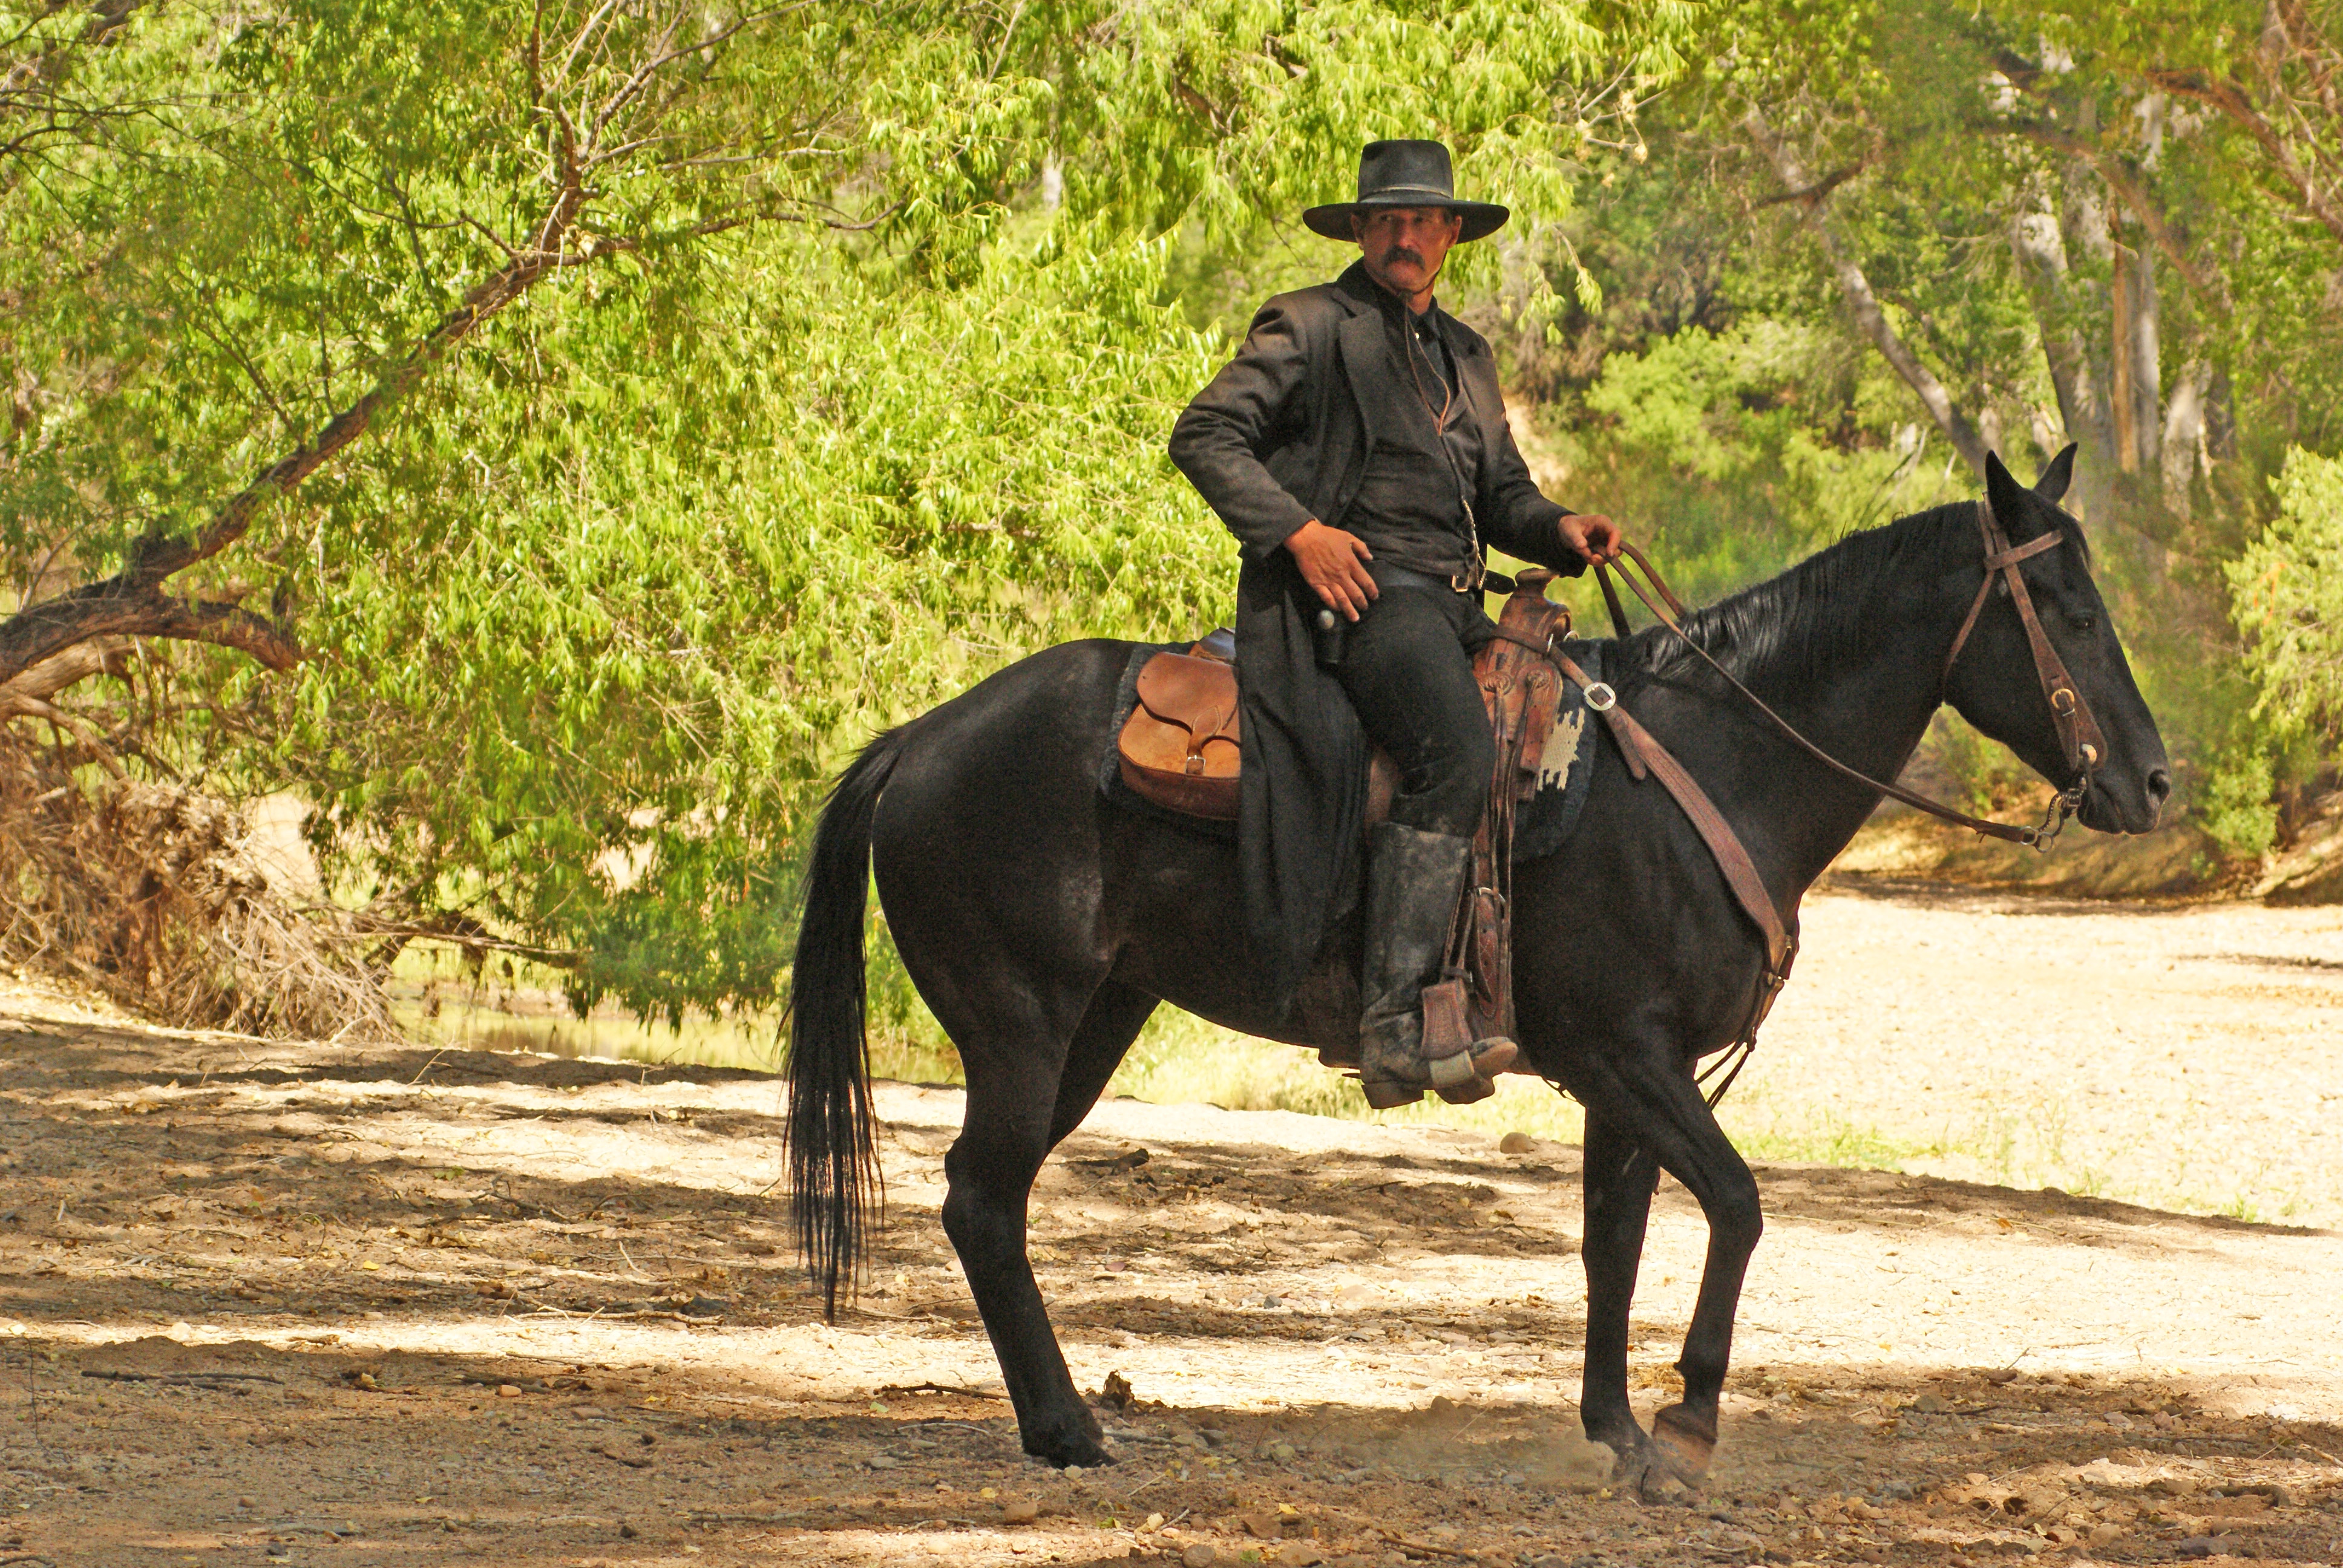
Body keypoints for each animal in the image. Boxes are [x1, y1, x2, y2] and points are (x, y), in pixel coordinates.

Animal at [778, 449, 2164, 1481]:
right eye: (2072, 613)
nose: (2152, 782)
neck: (1710, 766)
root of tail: (919, 741)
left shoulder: (1627, 1077)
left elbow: (1615, 1240)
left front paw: (1618, 1430)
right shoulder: (1628, 1055)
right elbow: (1736, 1203)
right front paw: (1688, 1419)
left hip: (1097, 1020)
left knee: (990, 1203)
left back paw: (1058, 1420)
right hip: (1022, 1025)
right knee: (979, 1199)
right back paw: (1067, 1429)